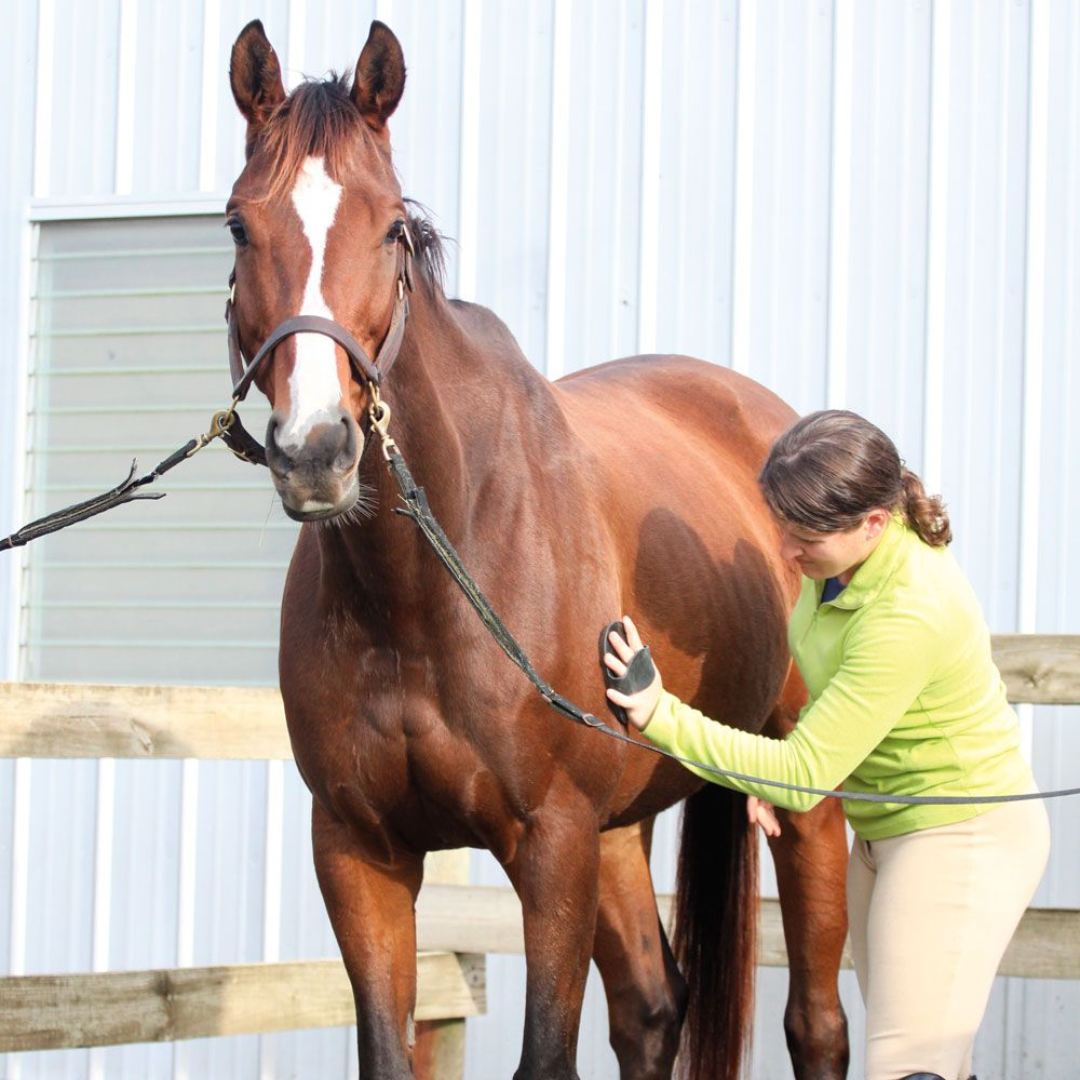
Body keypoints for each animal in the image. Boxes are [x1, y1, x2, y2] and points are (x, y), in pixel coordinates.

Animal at [225, 19, 850, 1080]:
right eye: (236, 225)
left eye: (391, 229)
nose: (315, 450)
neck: (429, 584)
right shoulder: (358, 851)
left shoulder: (551, 844)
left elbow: (546, 1057)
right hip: (620, 828)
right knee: (651, 1008)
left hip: (801, 795)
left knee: (816, 1024)